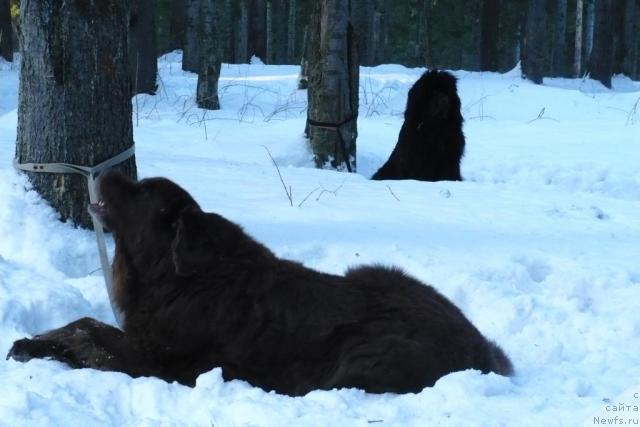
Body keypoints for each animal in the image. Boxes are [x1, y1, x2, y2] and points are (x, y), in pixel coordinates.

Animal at [7, 174, 512, 394]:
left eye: (143, 190)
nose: (103, 171)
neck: (172, 276)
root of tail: (479, 346)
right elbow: (80, 323)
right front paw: (33, 344)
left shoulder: (160, 360)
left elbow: (90, 330)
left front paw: (48, 348)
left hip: (358, 360)